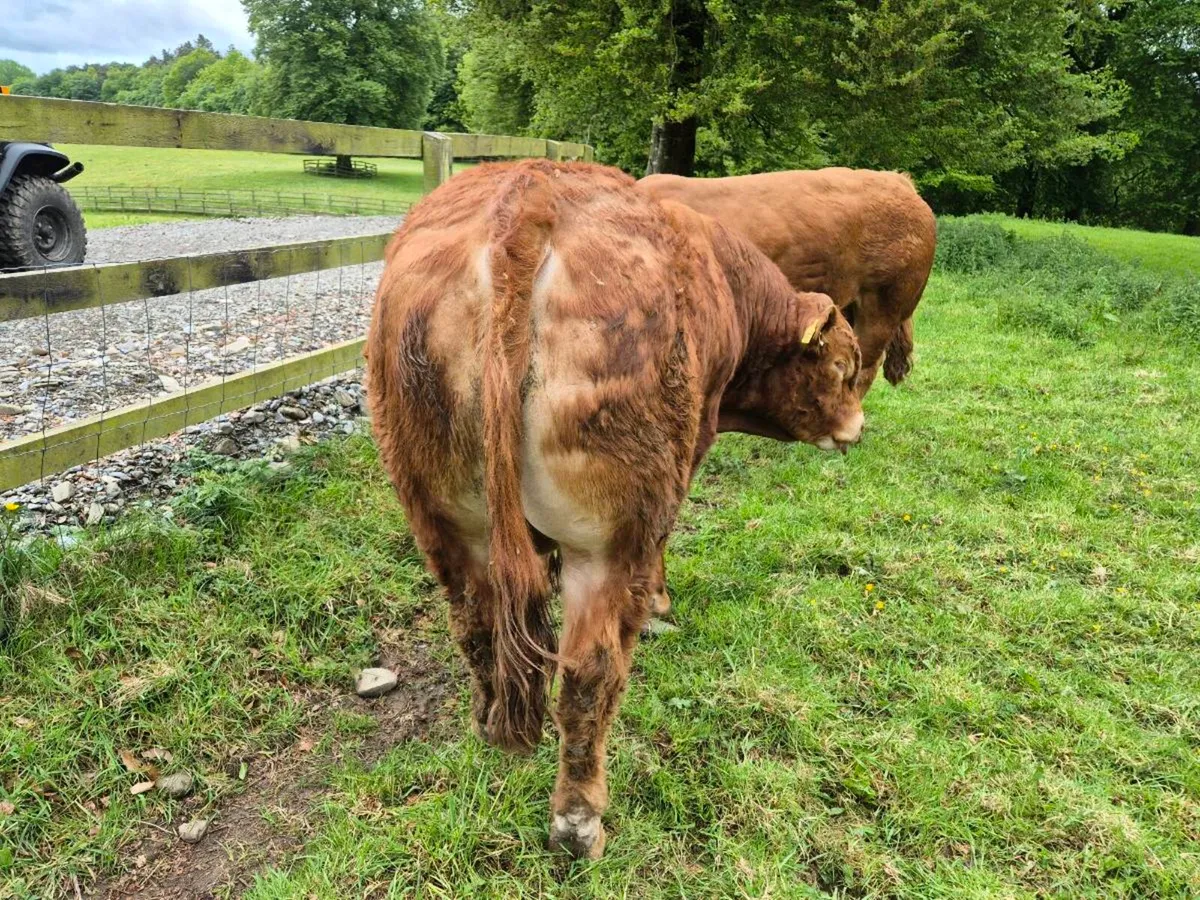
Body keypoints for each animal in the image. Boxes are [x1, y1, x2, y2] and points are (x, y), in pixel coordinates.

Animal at [366, 159, 864, 859]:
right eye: (843, 367)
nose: (857, 426)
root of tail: (529, 196)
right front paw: (659, 604)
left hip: (443, 516)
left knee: (476, 626)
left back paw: (491, 730)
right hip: (610, 535)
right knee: (589, 675)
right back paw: (579, 822)